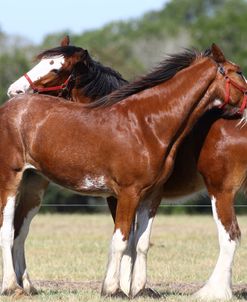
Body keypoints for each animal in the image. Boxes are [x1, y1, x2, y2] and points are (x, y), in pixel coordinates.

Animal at [4, 43, 247, 300]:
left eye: (56, 69)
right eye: (240, 72)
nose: (15, 90)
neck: (147, 123)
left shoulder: (145, 195)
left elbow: (135, 242)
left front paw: (132, 288)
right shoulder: (127, 194)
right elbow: (124, 241)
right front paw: (118, 288)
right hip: (15, 179)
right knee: (10, 230)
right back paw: (14, 286)